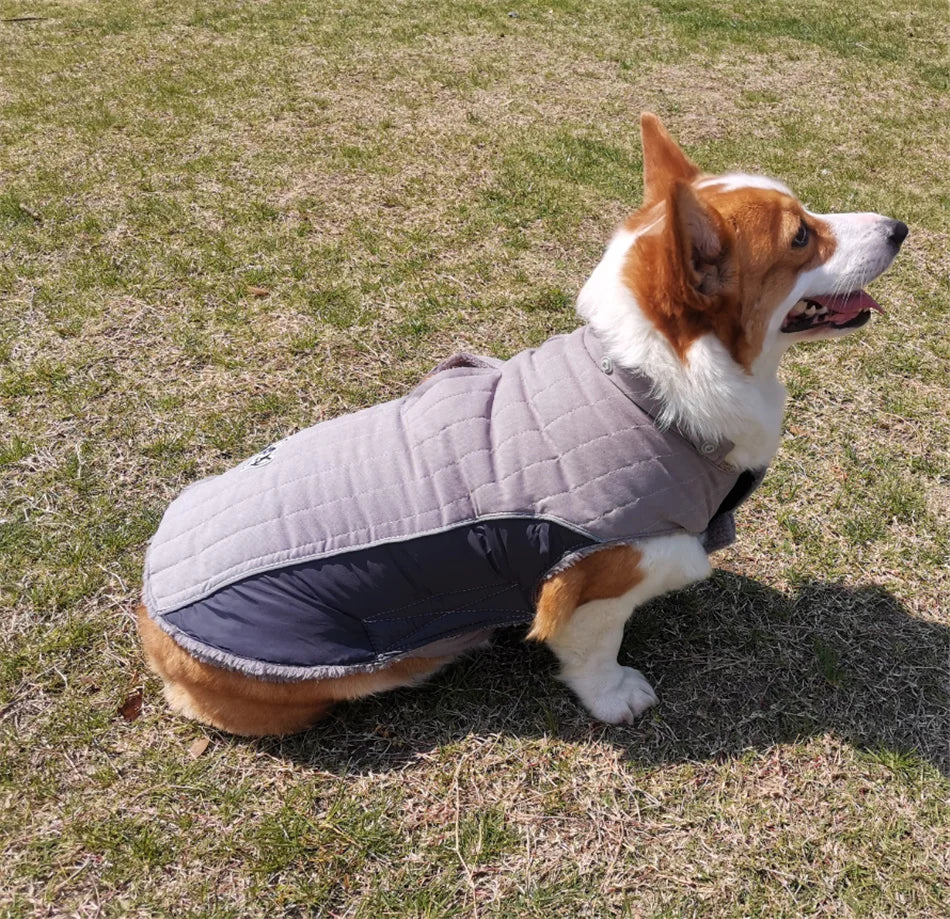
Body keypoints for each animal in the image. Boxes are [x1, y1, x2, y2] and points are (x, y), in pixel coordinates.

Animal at [136, 115, 908, 736]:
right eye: (802, 236)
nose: (901, 227)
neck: (647, 387)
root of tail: (149, 613)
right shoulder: (600, 575)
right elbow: (594, 648)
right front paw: (618, 697)